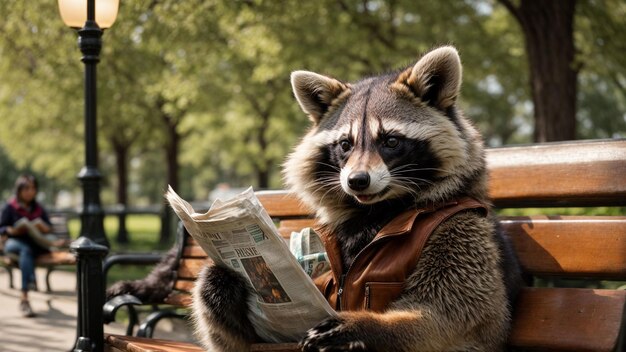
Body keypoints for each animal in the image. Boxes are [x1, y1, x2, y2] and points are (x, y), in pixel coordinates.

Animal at [191, 45, 520, 350]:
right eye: (345, 144)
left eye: (391, 141)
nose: (357, 181)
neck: (376, 210)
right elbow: (239, 341)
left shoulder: (462, 232)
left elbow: (452, 315)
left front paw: (368, 326)